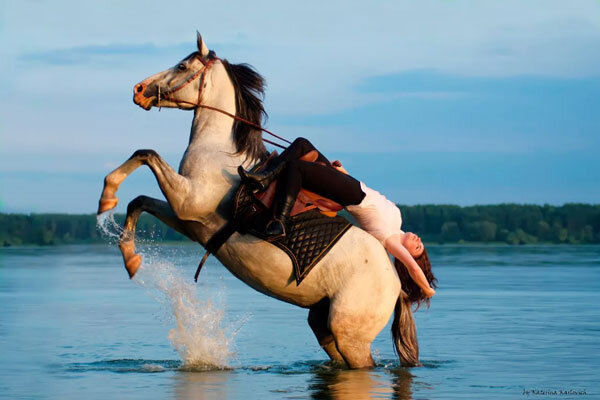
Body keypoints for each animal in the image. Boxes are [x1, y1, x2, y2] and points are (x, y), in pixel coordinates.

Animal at [97, 34, 418, 368]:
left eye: (182, 66)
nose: (138, 89)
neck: (218, 149)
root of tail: (397, 287)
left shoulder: (188, 200)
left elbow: (146, 154)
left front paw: (107, 195)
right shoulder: (188, 220)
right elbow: (138, 201)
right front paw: (130, 258)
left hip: (350, 336)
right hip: (324, 326)